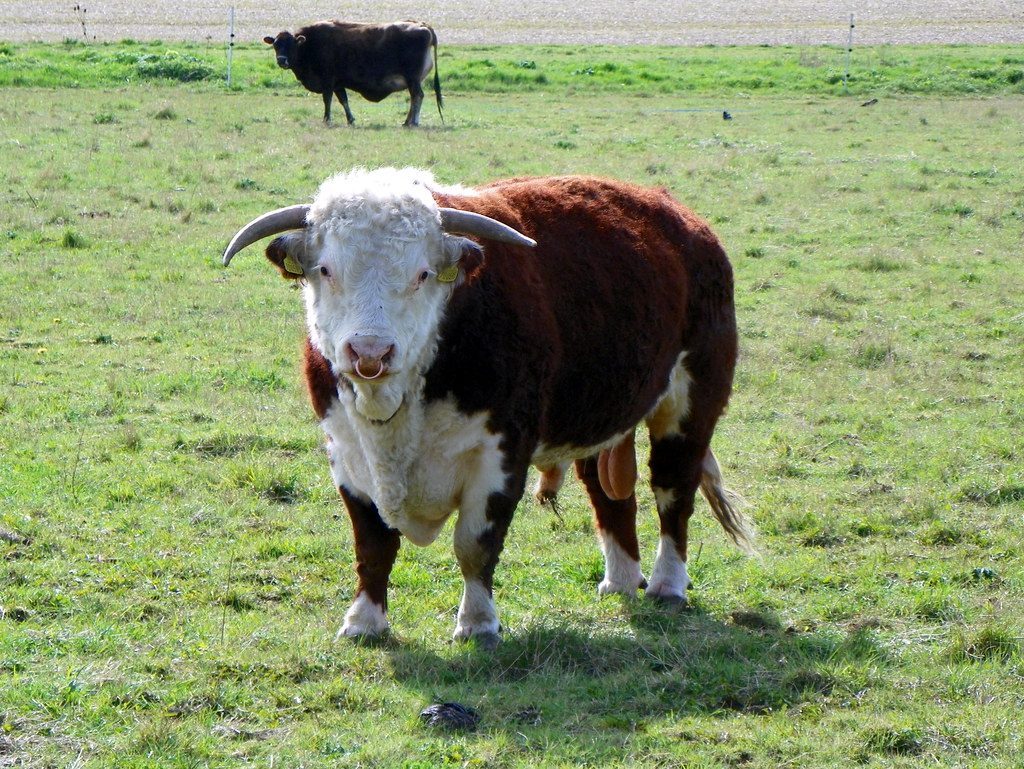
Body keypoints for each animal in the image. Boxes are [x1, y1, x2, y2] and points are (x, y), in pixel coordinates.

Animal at [221, 167, 754, 647]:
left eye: (422, 274)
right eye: (327, 270)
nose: (370, 352)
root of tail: (680, 217)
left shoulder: (501, 456)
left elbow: (474, 546)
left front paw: (478, 624)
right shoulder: (347, 453)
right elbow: (372, 545)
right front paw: (364, 622)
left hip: (691, 401)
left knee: (673, 490)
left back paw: (668, 584)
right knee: (609, 497)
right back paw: (621, 580)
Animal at [263, 20, 443, 127]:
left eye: (291, 45)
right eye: (276, 45)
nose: (281, 60)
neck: (310, 44)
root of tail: (422, 25)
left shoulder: (328, 81)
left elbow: (327, 100)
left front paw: (326, 119)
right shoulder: (338, 84)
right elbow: (344, 100)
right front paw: (350, 120)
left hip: (413, 80)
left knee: (417, 96)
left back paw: (413, 122)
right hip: (413, 81)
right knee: (414, 98)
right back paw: (406, 122)